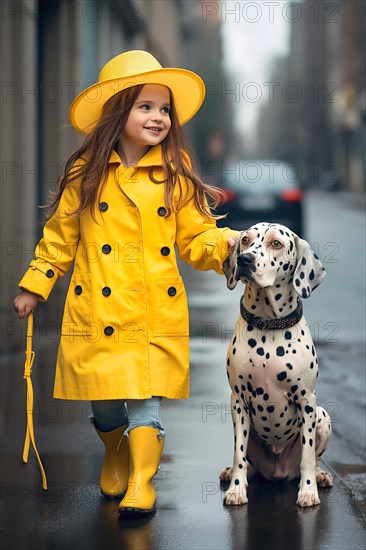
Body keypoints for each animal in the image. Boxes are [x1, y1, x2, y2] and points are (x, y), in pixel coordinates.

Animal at [220, 223, 334, 508]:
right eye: (245, 240)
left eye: (276, 244)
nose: (244, 259)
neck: (268, 326)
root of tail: (278, 471)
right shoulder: (238, 401)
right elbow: (239, 455)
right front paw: (236, 489)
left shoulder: (306, 401)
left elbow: (307, 456)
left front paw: (308, 491)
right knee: (245, 460)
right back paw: (231, 472)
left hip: (322, 416)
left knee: (314, 460)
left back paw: (320, 476)